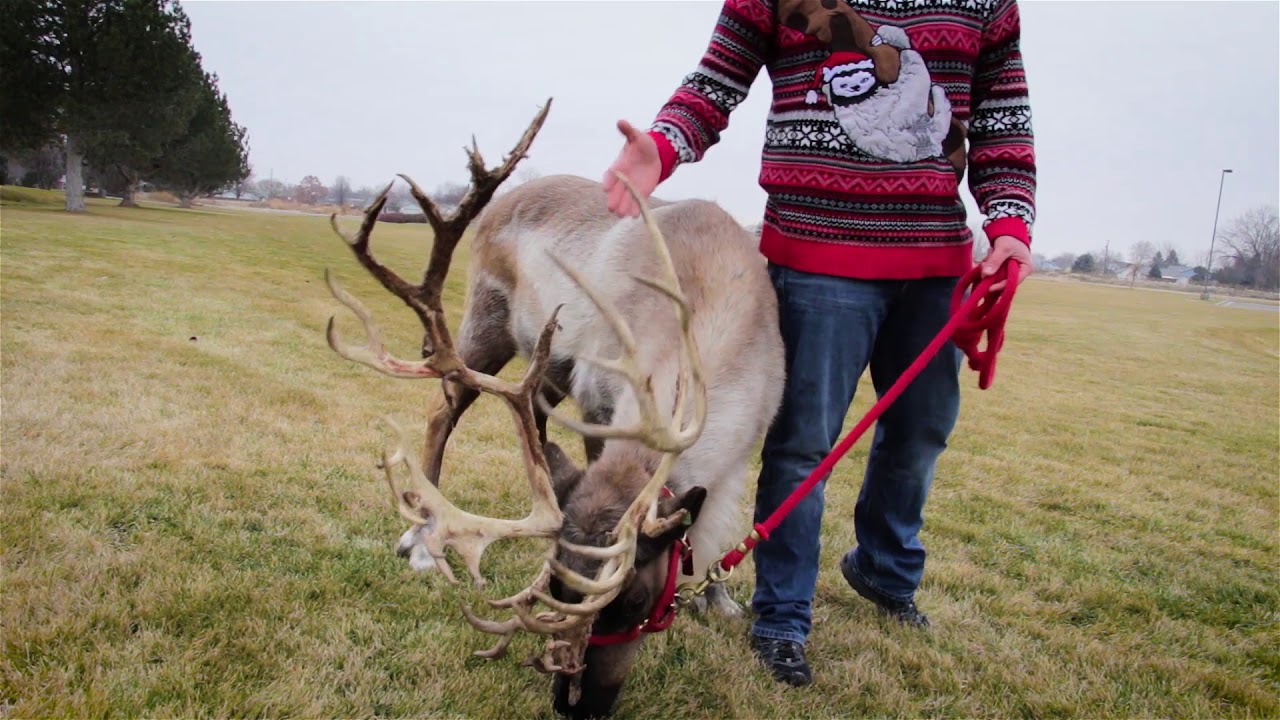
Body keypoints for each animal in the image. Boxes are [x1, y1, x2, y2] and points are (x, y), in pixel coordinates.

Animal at [322, 99, 785, 719]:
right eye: (559, 588)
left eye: (634, 601)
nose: (574, 704)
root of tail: (504, 198)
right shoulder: (600, 402)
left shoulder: (752, 435)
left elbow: (725, 520)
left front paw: (721, 597)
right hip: (485, 325)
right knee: (442, 410)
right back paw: (420, 534)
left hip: (547, 367)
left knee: (533, 423)